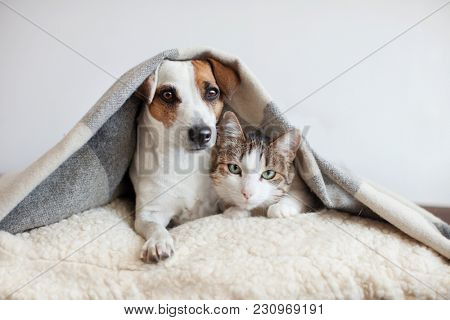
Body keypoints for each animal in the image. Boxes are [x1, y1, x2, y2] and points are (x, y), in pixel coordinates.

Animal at [129, 57, 239, 262]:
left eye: (212, 92)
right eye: (168, 95)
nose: (201, 133)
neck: (186, 160)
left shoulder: (222, 200)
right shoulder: (149, 213)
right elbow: (154, 226)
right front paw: (158, 242)